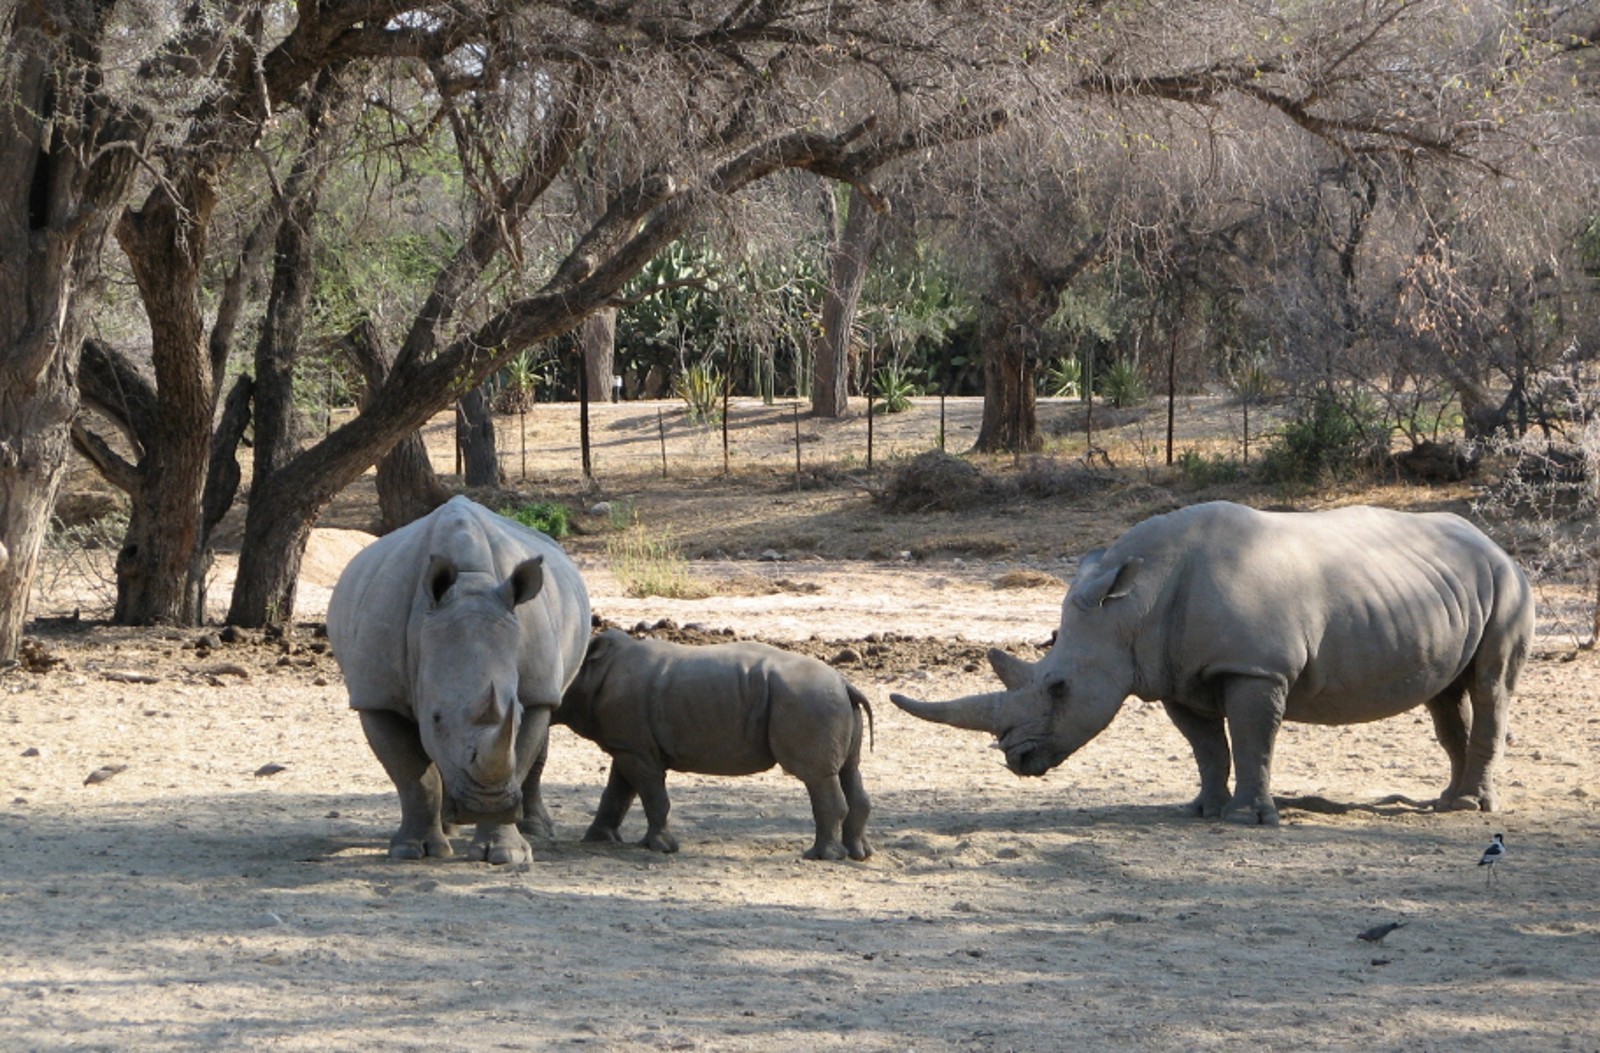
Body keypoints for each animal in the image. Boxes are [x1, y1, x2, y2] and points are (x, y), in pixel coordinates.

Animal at [328, 496, 592, 857]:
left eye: (519, 714)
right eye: (436, 718)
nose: (488, 806)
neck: (470, 584)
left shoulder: (537, 691)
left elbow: (521, 755)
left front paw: (506, 853)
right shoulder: (377, 697)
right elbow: (413, 777)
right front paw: (414, 851)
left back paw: (537, 832)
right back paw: (449, 828)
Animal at [553, 627, 876, 857]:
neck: (591, 671)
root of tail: (845, 683)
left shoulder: (636, 751)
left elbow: (652, 796)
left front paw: (660, 848)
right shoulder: (628, 746)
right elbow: (617, 794)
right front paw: (597, 839)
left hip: (810, 699)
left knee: (817, 776)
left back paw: (820, 856)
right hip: (827, 700)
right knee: (849, 770)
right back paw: (859, 854)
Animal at [896, 496, 1529, 825]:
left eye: (1058, 688)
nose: (1017, 759)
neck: (1132, 605)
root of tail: (1494, 542)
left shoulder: (1255, 667)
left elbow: (1250, 739)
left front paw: (1248, 819)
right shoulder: (1172, 674)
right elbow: (1206, 747)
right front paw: (1202, 810)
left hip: (1507, 585)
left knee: (1490, 685)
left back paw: (1468, 808)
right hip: (1448, 588)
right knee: (1446, 695)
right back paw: (1447, 802)